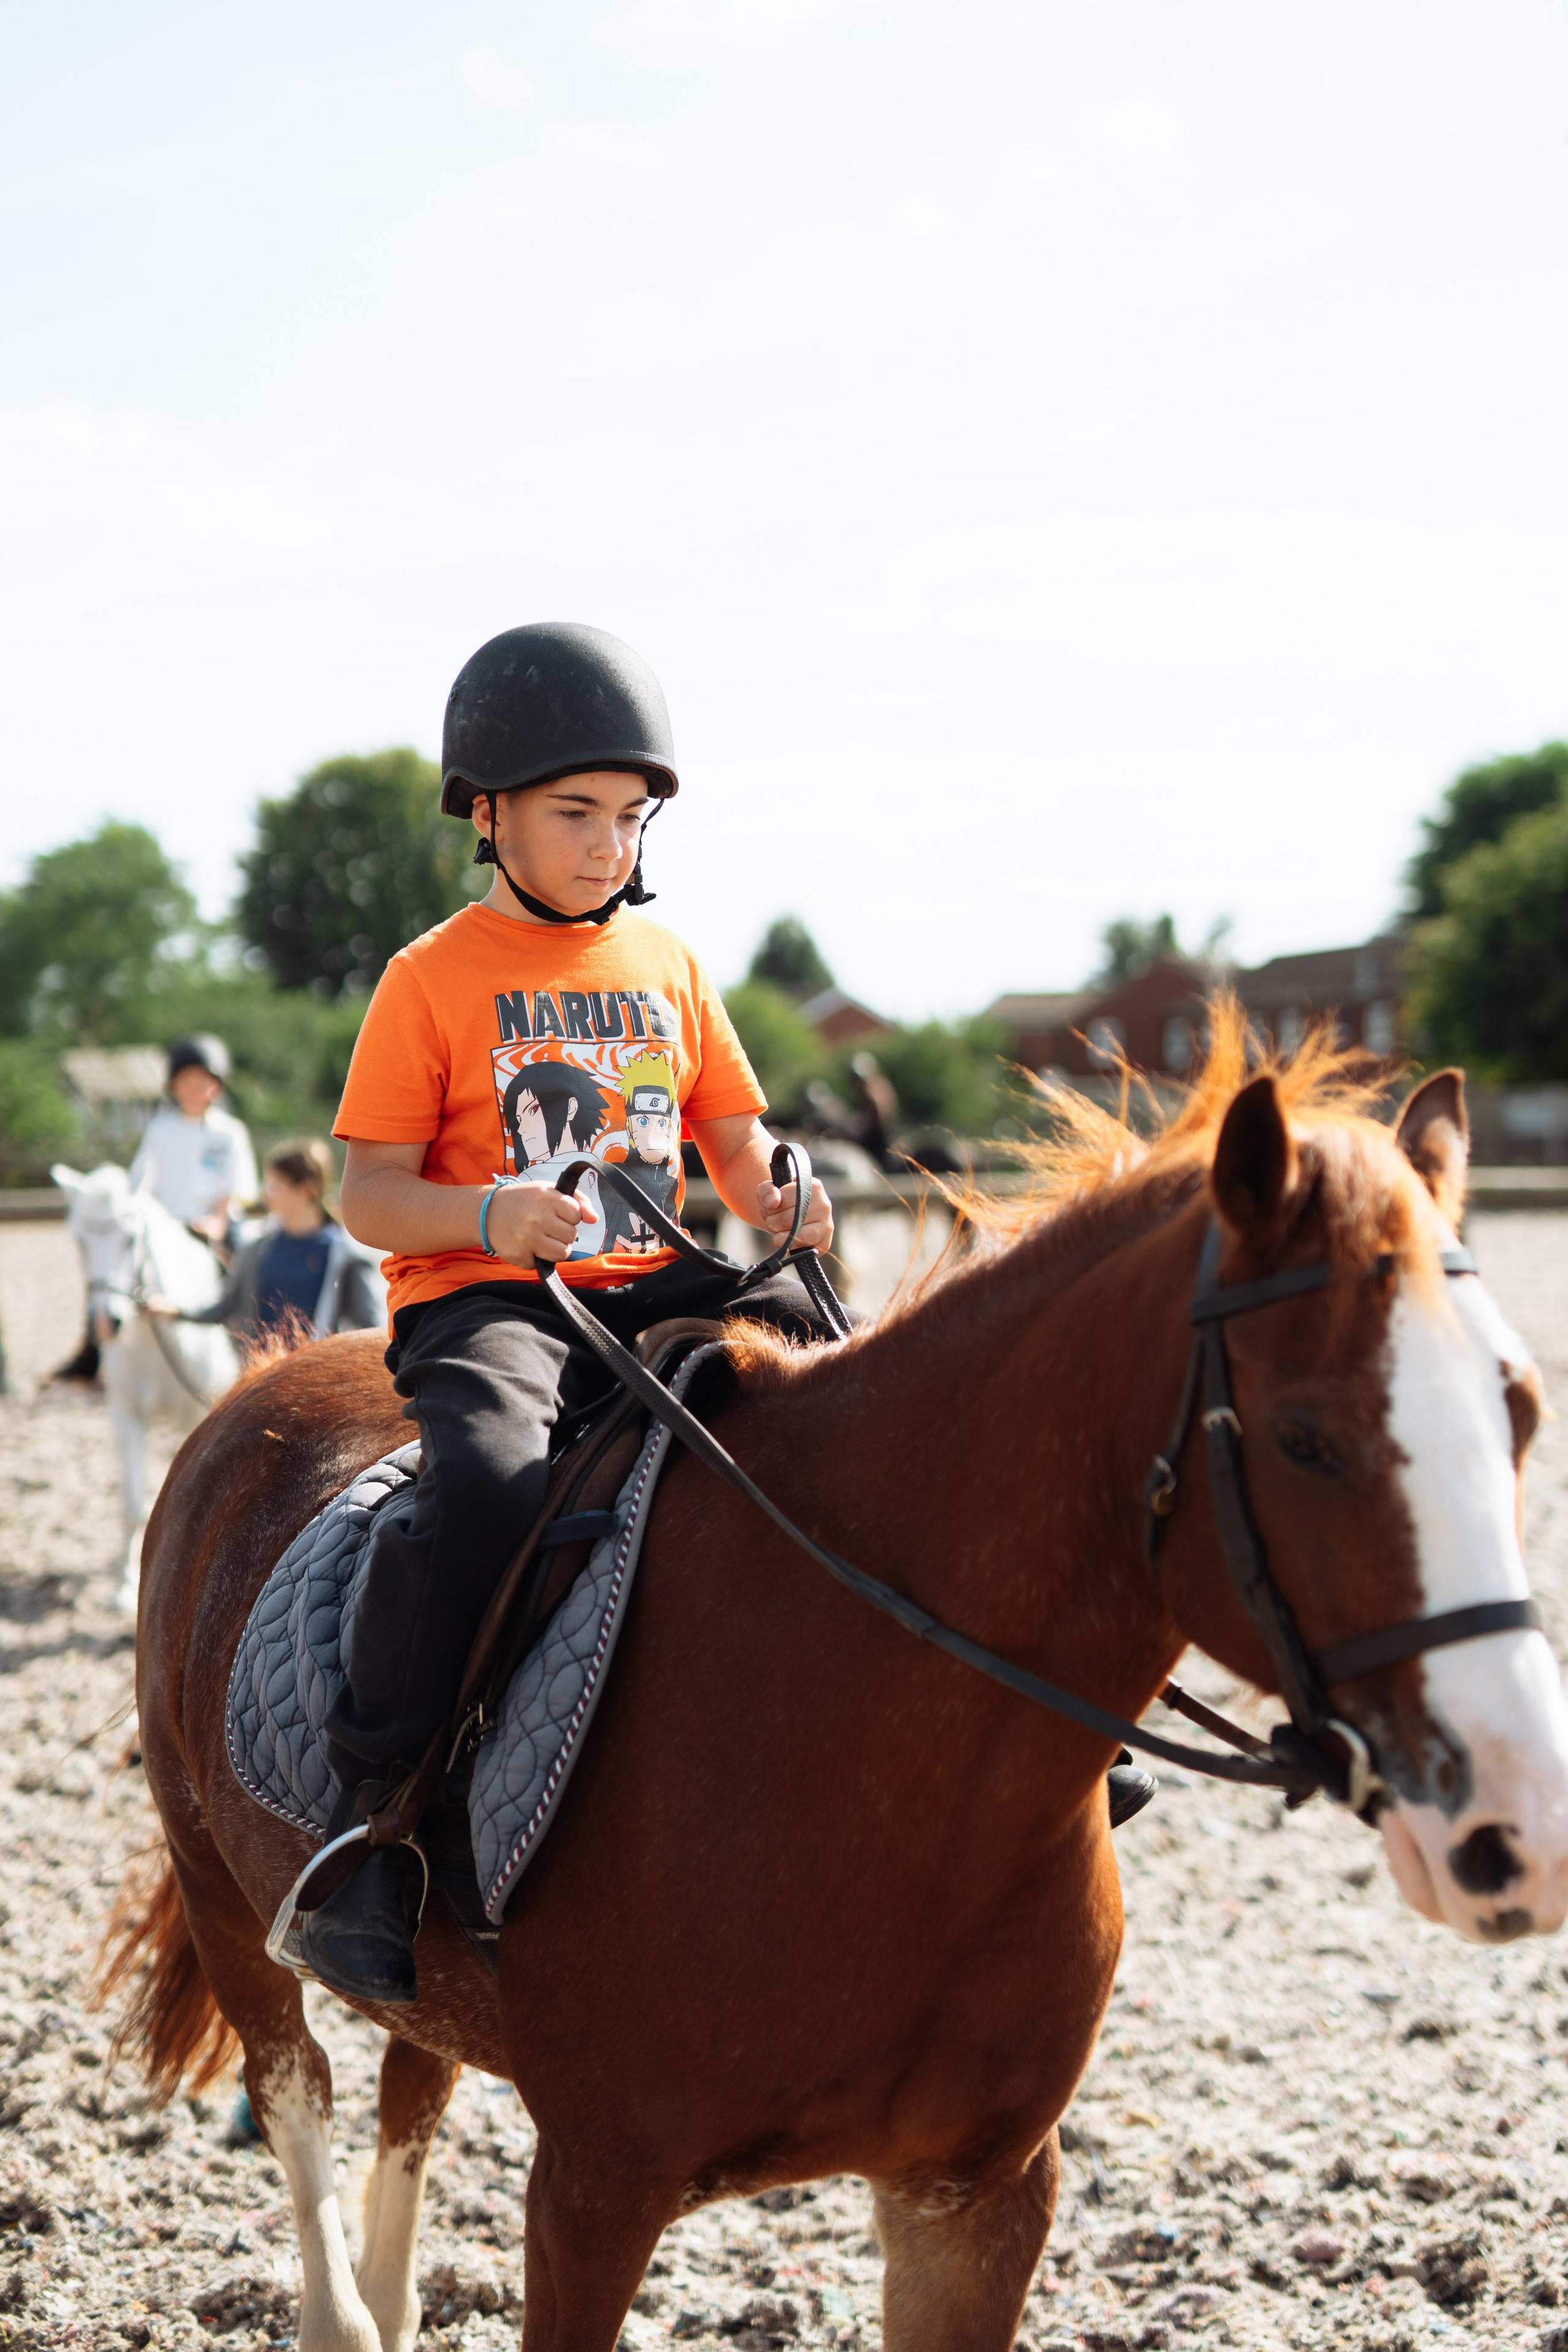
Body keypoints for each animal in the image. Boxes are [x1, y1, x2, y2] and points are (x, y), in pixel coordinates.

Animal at [52, 1162, 239, 1609]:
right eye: (79, 1241)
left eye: (130, 1237)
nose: (105, 1322)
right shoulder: (126, 1412)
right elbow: (132, 1502)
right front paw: (124, 1585)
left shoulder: (202, 1419)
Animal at [104, 1028, 1568, 2352]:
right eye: (1308, 1440)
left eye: (1518, 1409)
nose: (1519, 1832)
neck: (885, 1764)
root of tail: (264, 1380)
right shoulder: (593, 2187)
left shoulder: (975, 2200)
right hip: (227, 1899)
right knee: (297, 2097)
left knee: (414, 2082)